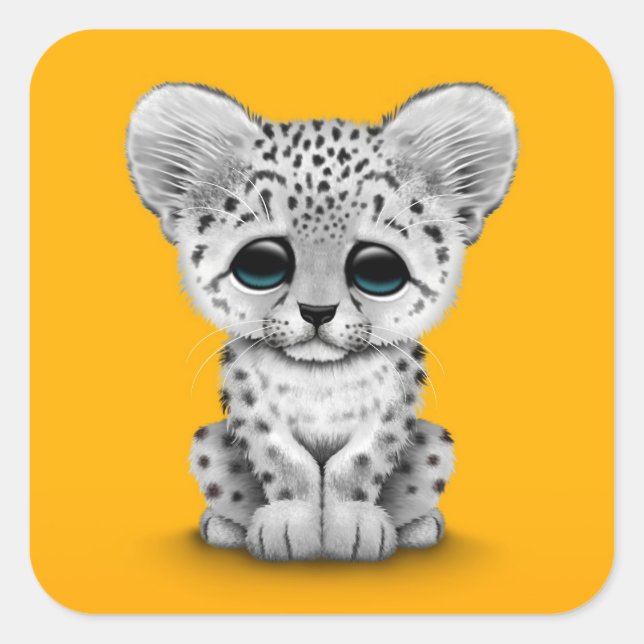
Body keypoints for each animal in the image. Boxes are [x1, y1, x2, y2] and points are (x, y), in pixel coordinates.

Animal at [126, 81, 517, 560]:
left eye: (379, 269)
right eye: (260, 263)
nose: (317, 312)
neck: (320, 377)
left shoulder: (392, 409)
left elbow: (359, 464)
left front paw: (353, 525)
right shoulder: (252, 408)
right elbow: (284, 462)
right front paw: (290, 523)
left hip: (435, 444)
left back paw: (420, 528)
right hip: (209, 443)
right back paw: (224, 527)